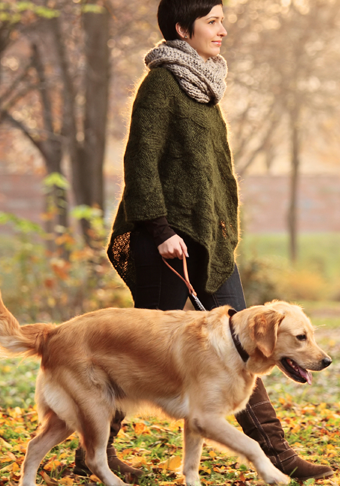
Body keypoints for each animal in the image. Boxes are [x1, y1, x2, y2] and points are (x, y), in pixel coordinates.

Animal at [0, 292, 330, 486]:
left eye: (312, 335)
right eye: (300, 337)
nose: (327, 361)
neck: (234, 343)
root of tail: (52, 332)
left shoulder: (194, 424)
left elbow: (191, 465)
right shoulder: (205, 417)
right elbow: (251, 444)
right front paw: (273, 475)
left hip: (68, 416)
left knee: (34, 448)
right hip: (95, 409)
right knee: (94, 458)